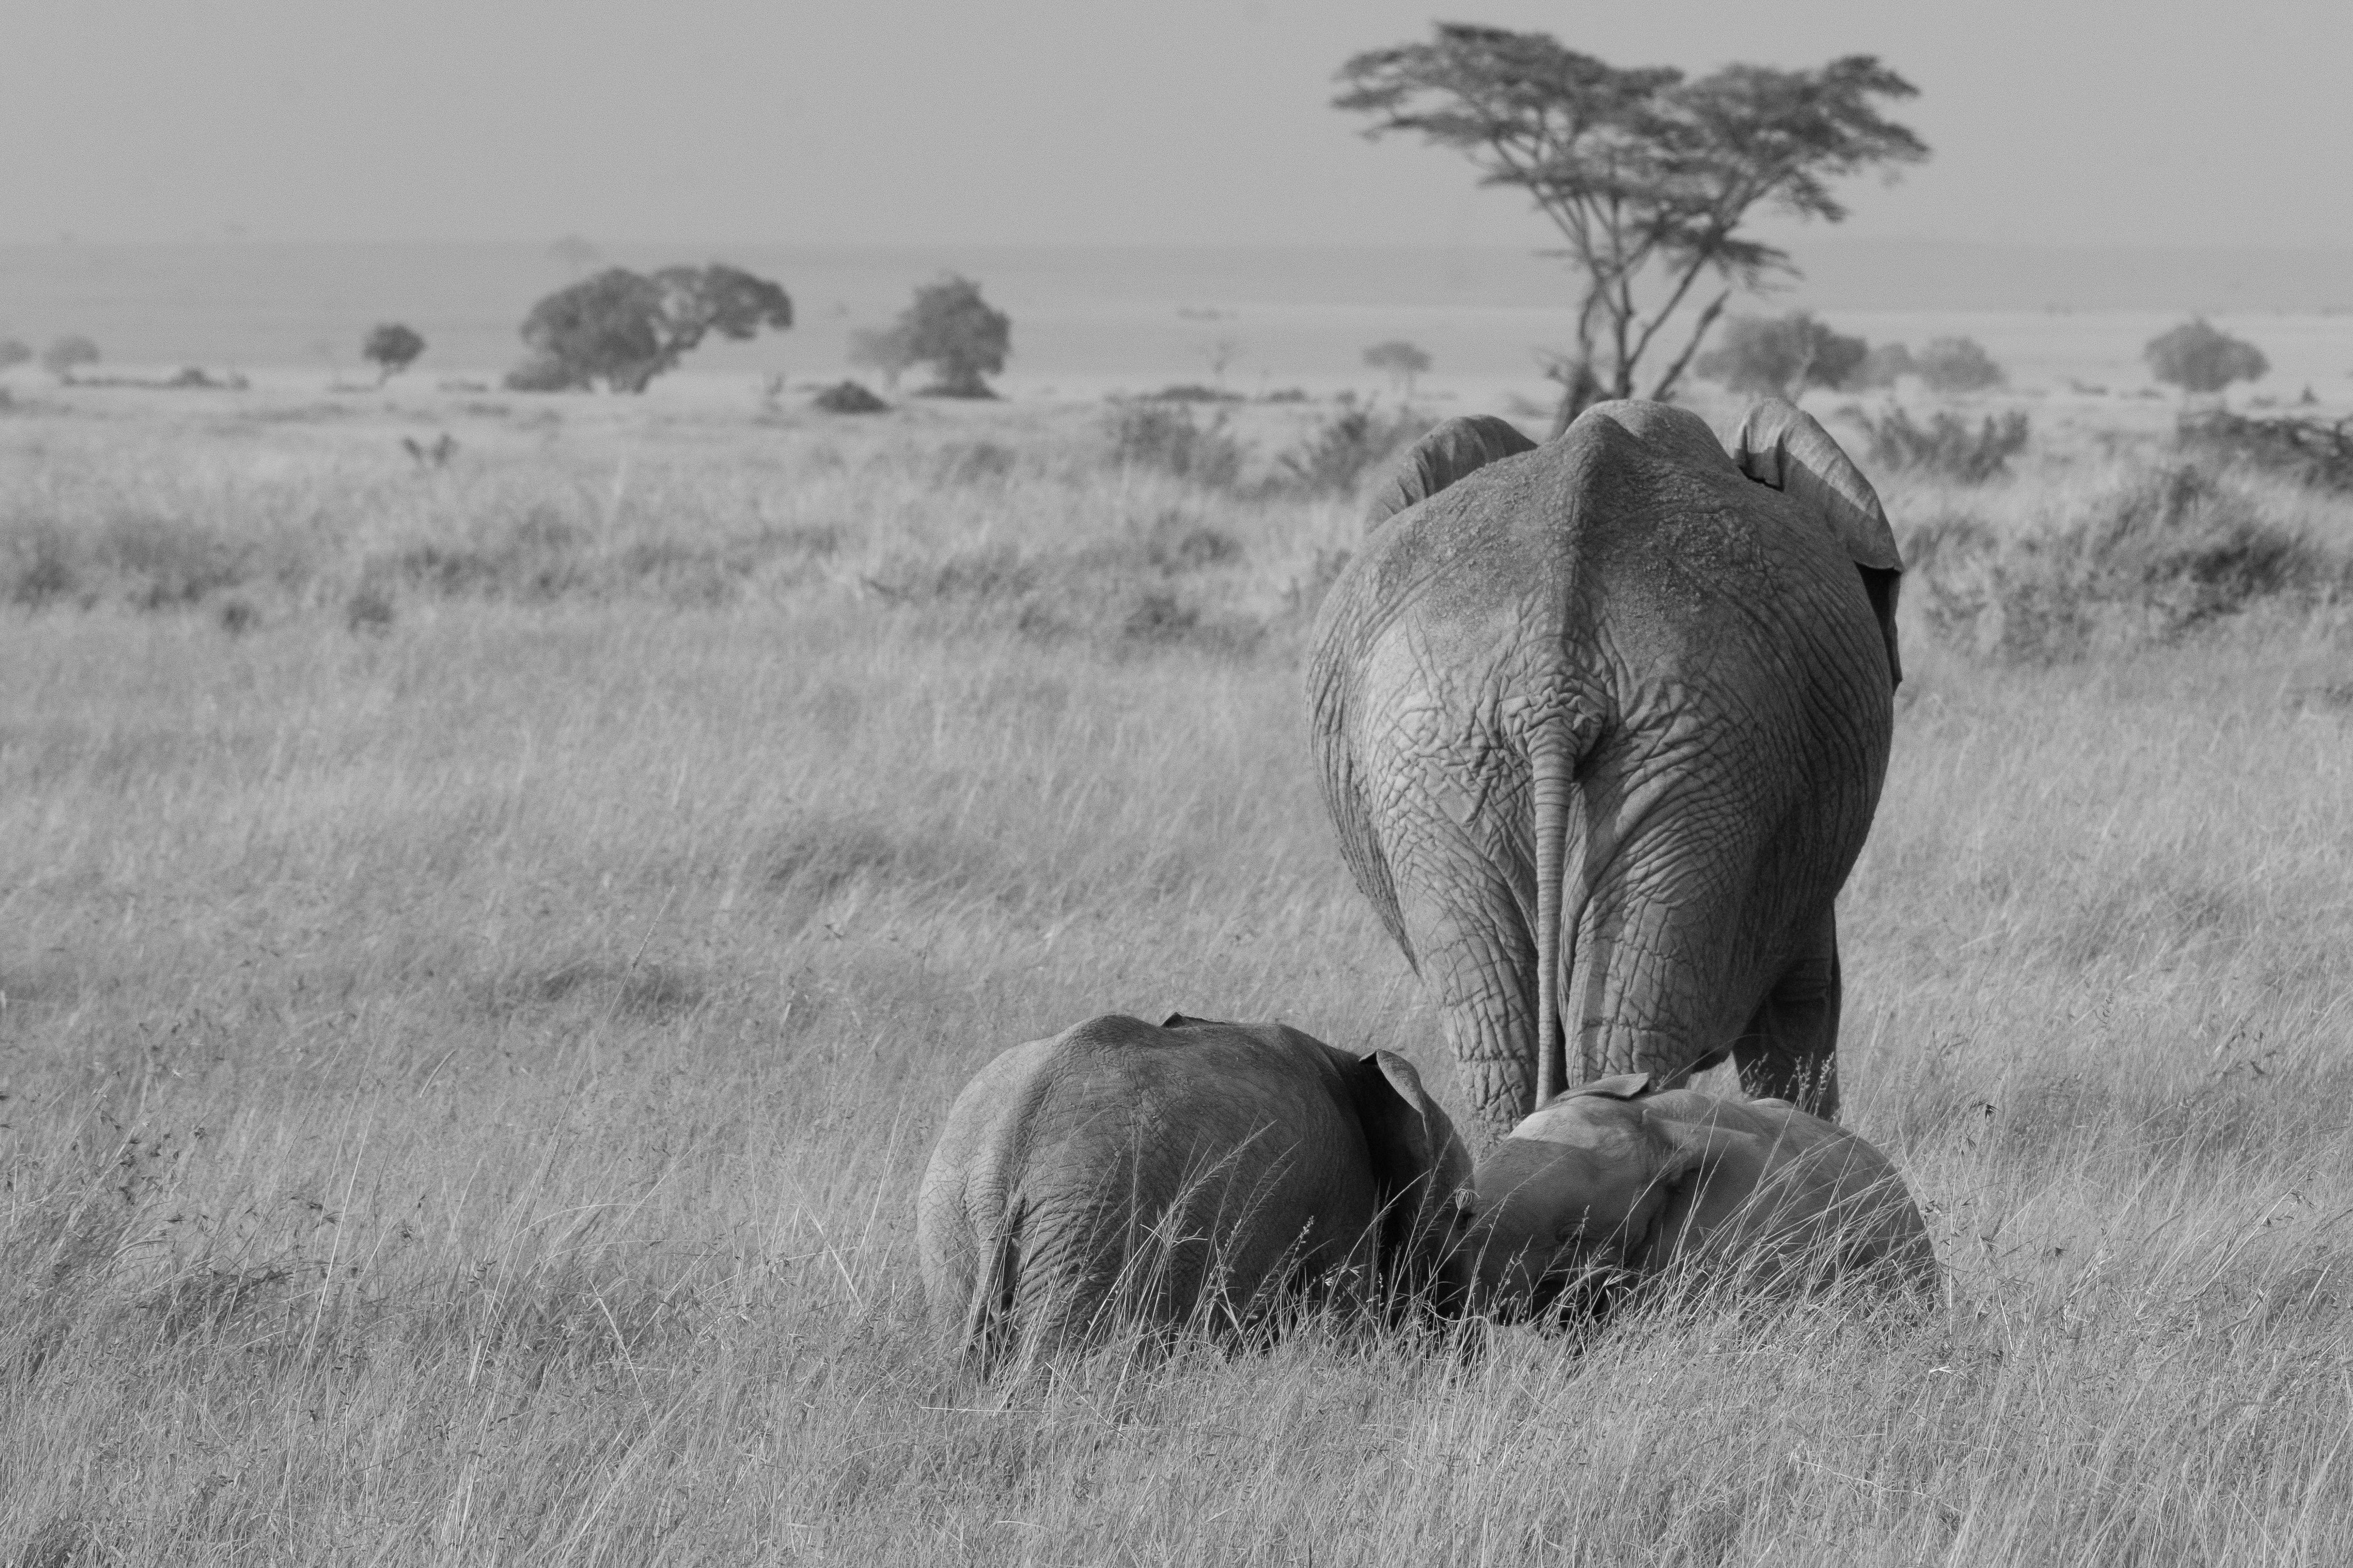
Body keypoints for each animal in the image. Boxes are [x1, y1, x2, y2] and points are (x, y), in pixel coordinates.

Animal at [917, 1012, 1471, 1361]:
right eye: (1464, 1215)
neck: (1352, 1065)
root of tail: (1009, 1144)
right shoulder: (1342, 1203)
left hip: (953, 1223)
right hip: (1093, 1222)